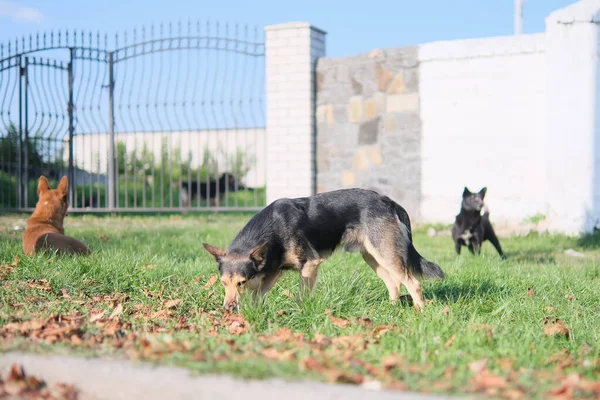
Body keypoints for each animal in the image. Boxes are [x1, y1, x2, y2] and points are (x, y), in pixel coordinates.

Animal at [204, 188, 442, 312]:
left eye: (241, 282)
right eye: (223, 283)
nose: (227, 308)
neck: (273, 227)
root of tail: (389, 201)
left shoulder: (309, 265)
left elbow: (301, 296)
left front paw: (300, 313)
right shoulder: (273, 272)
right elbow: (257, 296)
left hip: (386, 254)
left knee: (413, 282)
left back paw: (420, 311)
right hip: (373, 257)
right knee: (394, 283)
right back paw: (391, 310)